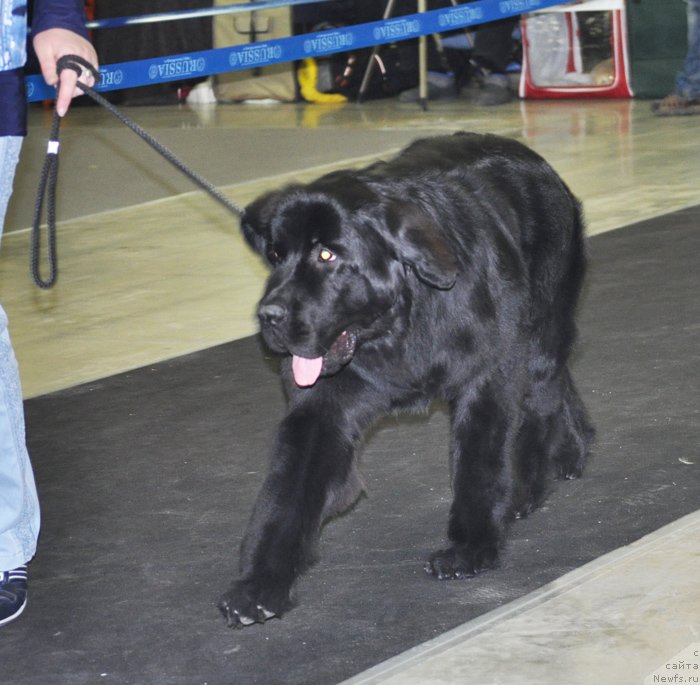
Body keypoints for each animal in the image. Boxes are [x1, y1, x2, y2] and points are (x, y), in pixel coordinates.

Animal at [221, 130, 592, 624]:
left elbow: (480, 463)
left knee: (541, 394)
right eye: (277, 255)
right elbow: (288, 494)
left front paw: (471, 549)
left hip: (538, 330)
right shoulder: (321, 410)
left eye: (326, 254)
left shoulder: (486, 378)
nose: (270, 316)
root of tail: (532, 156)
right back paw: (574, 449)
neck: (398, 324)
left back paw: (531, 485)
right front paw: (259, 586)